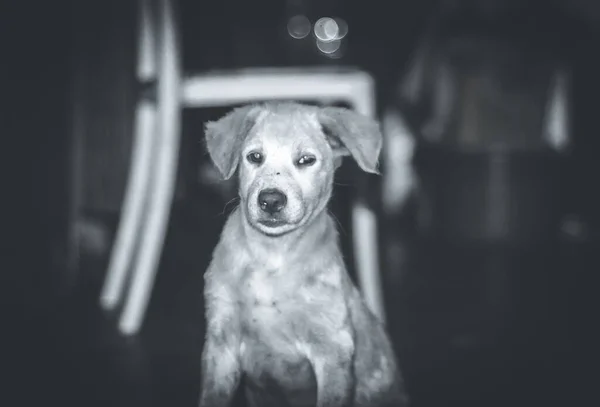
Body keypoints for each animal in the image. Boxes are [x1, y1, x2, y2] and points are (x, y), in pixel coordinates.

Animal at [197, 103, 408, 407]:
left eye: (306, 160)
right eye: (255, 157)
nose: (270, 200)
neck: (272, 258)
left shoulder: (333, 350)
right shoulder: (221, 343)